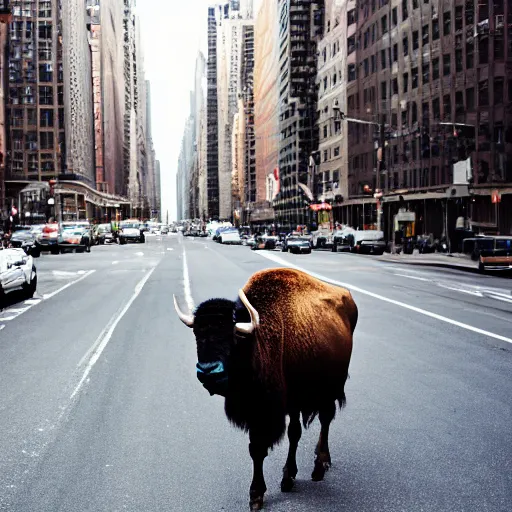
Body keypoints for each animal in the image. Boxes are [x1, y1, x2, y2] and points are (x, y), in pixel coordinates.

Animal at [174, 268, 358, 508]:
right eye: (197, 333)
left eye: (231, 336)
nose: (208, 371)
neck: (255, 340)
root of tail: (347, 297)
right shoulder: (260, 410)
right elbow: (258, 447)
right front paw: (268, 488)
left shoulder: (266, 412)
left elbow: (260, 448)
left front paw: (256, 495)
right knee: (296, 432)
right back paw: (290, 476)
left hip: (329, 389)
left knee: (325, 420)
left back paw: (319, 467)